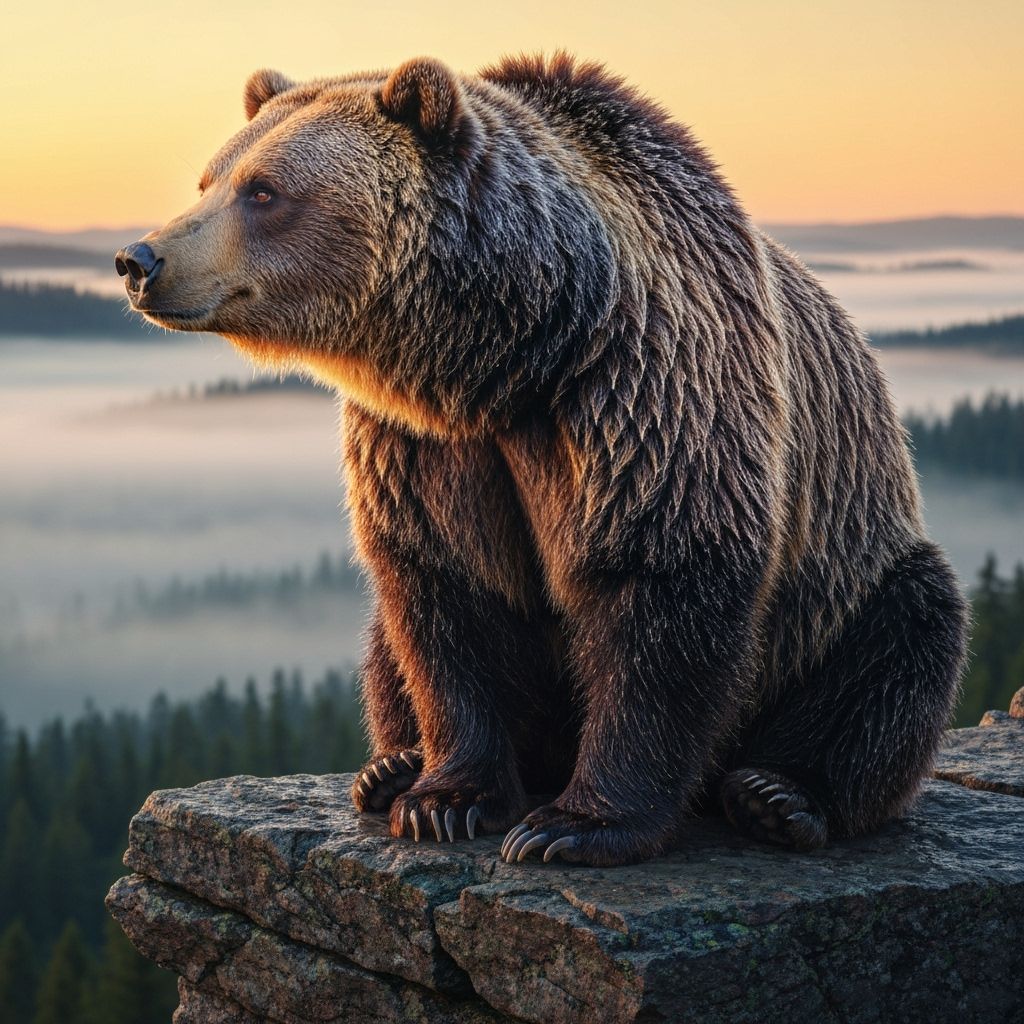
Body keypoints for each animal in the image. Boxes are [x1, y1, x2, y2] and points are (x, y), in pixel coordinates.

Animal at [116, 52, 968, 867]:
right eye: (209, 178)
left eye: (263, 191)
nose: (138, 258)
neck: (510, 355)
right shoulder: (426, 446)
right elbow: (446, 600)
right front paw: (445, 799)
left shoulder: (644, 399)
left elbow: (658, 586)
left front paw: (575, 826)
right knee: (384, 646)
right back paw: (389, 766)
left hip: (844, 574)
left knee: (901, 644)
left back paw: (780, 796)